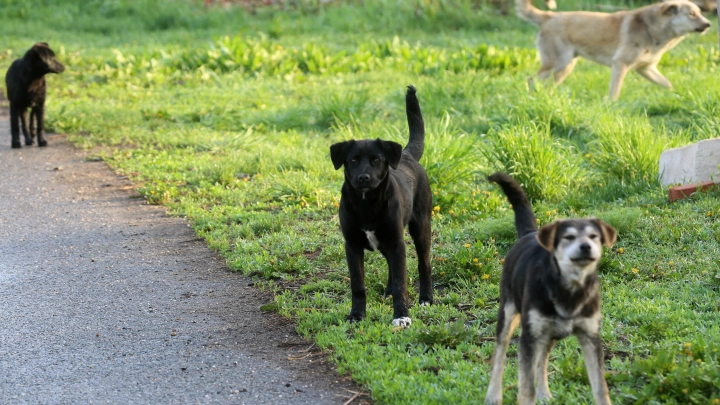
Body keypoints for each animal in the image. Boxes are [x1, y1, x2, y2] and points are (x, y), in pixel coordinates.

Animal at [516, 0, 708, 99]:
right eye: (692, 14)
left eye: (699, 13)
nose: (708, 24)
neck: (652, 28)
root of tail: (549, 17)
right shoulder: (620, 64)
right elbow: (614, 91)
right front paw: (610, 105)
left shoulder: (646, 68)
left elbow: (667, 84)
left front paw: (677, 96)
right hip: (558, 63)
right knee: (531, 79)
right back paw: (531, 97)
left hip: (565, 68)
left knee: (546, 84)